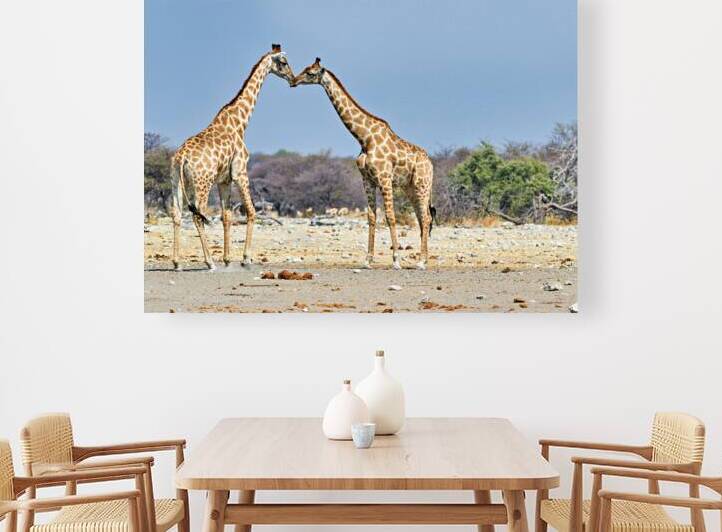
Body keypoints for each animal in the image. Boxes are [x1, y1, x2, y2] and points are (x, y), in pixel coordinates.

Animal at [170, 44, 294, 271]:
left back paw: (177, 262)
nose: (292, 77)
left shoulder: (224, 180)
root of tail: (181, 158)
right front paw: (246, 258)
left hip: (176, 182)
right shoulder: (240, 172)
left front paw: (228, 259)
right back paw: (209, 262)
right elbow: (251, 212)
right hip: (202, 183)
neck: (240, 122)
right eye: (283, 62)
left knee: (176, 214)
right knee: (197, 215)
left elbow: (226, 216)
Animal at [291, 58, 435, 270]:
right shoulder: (367, 180)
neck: (364, 138)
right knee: (422, 217)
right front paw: (367, 260)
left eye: (310, 73)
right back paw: (422, 259)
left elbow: (390, 216)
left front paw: (396, 260)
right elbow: (371, 217)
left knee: (426, 218)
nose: (293, 80)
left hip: (422, 184)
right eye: (305, 69)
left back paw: (422, 262)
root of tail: (431, 163)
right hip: (410, 188)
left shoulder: (384, 179)